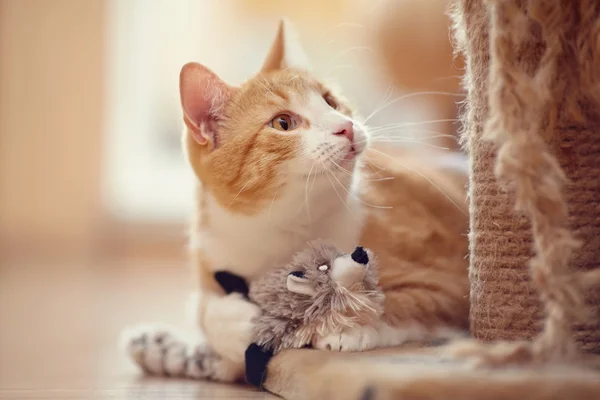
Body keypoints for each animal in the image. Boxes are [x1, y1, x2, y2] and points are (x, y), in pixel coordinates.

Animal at [122, 18, 468, 382]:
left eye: (330, 101)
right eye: (283, 123)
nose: (346, 127)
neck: (283, 230)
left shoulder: (450, 281)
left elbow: (407, 302)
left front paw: (347, 323)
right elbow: (203, 308)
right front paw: (227, 328)